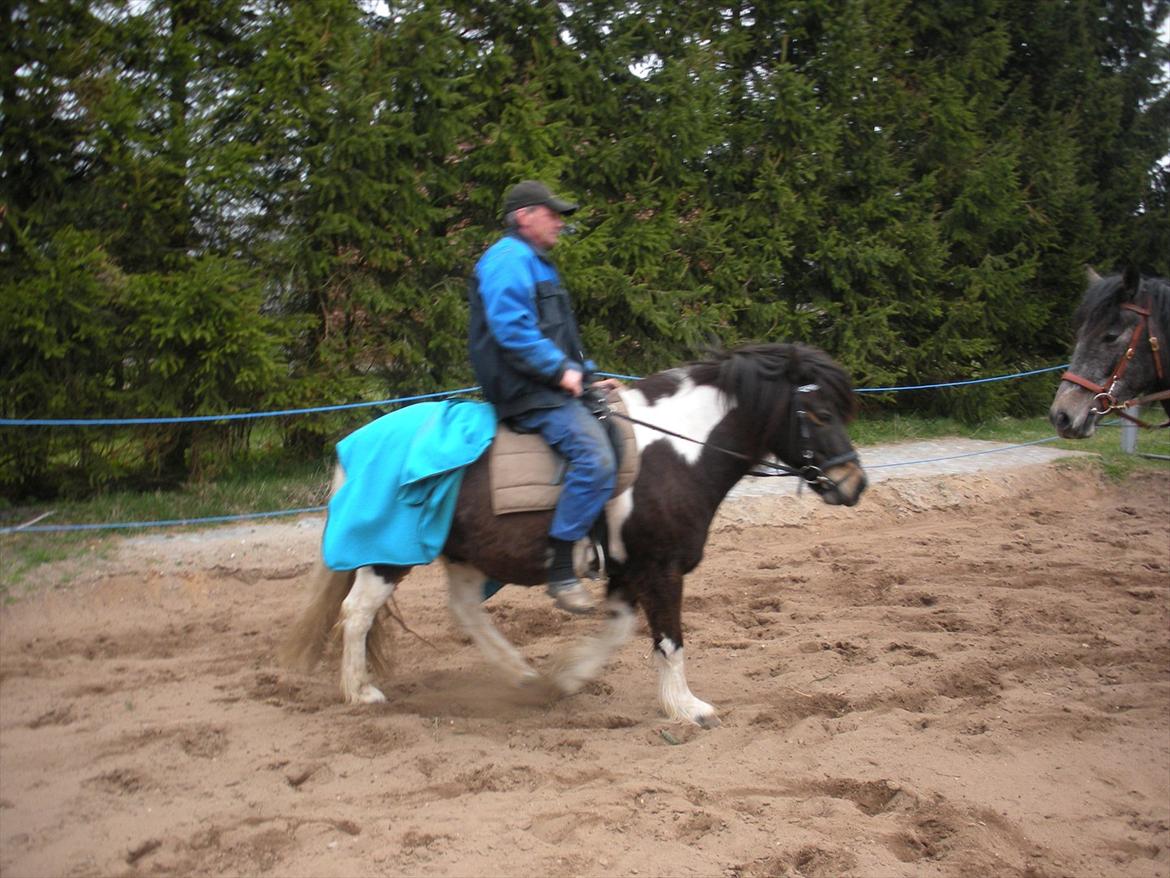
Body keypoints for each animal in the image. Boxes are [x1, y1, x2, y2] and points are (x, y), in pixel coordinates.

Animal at [283, 341, 870, 730]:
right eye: (819, 413)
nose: (854, 483)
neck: (679, 449)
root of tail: (354, 444)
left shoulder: (631, 569)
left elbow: (619, 628)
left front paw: (568, 679)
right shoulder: (661, 568)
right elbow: (670, 638)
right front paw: (687, 708)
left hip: (466, 555)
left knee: (465, 611)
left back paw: (521, 675)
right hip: (391, 555)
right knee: (357, 612)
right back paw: (360, 691)